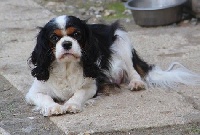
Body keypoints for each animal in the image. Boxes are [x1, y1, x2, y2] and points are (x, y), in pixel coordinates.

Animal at [25, 14, 200, 116]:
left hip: (120, 38)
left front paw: (72, 104)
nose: (67, 44)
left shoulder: (90, 87)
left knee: (133, 70)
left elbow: (78, 94)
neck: (67, 67)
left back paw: (136, 83)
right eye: (54, 38)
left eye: (77, 34)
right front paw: (53, 107)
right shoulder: (33, 92)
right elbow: (44, 97)